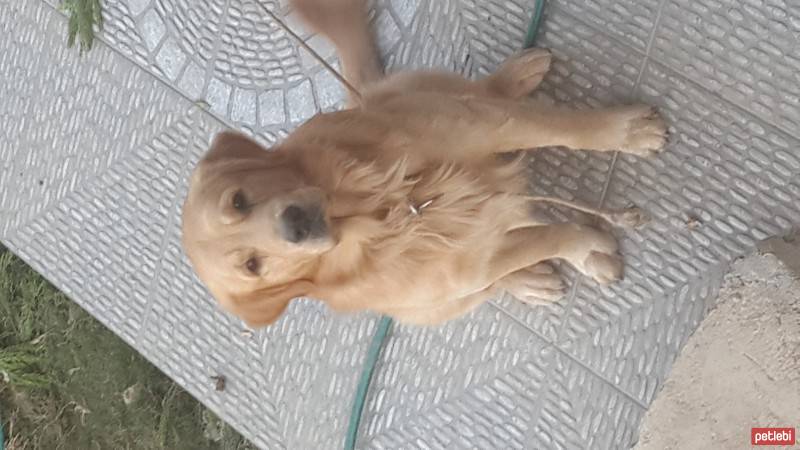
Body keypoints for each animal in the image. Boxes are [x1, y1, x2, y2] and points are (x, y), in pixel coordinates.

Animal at [180, 0, 664, 326]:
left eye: (239, 201)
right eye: (252, 266)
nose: (294, 226)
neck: (386, 205)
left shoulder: (485, 127)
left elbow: (565, 129)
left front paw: (626, 132)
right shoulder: (479, 260)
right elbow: (551, 238)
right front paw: (588, 246)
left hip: (432, 97)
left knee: (479, 94)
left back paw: (513, 76)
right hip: (438, 302)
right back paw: (532, 281)